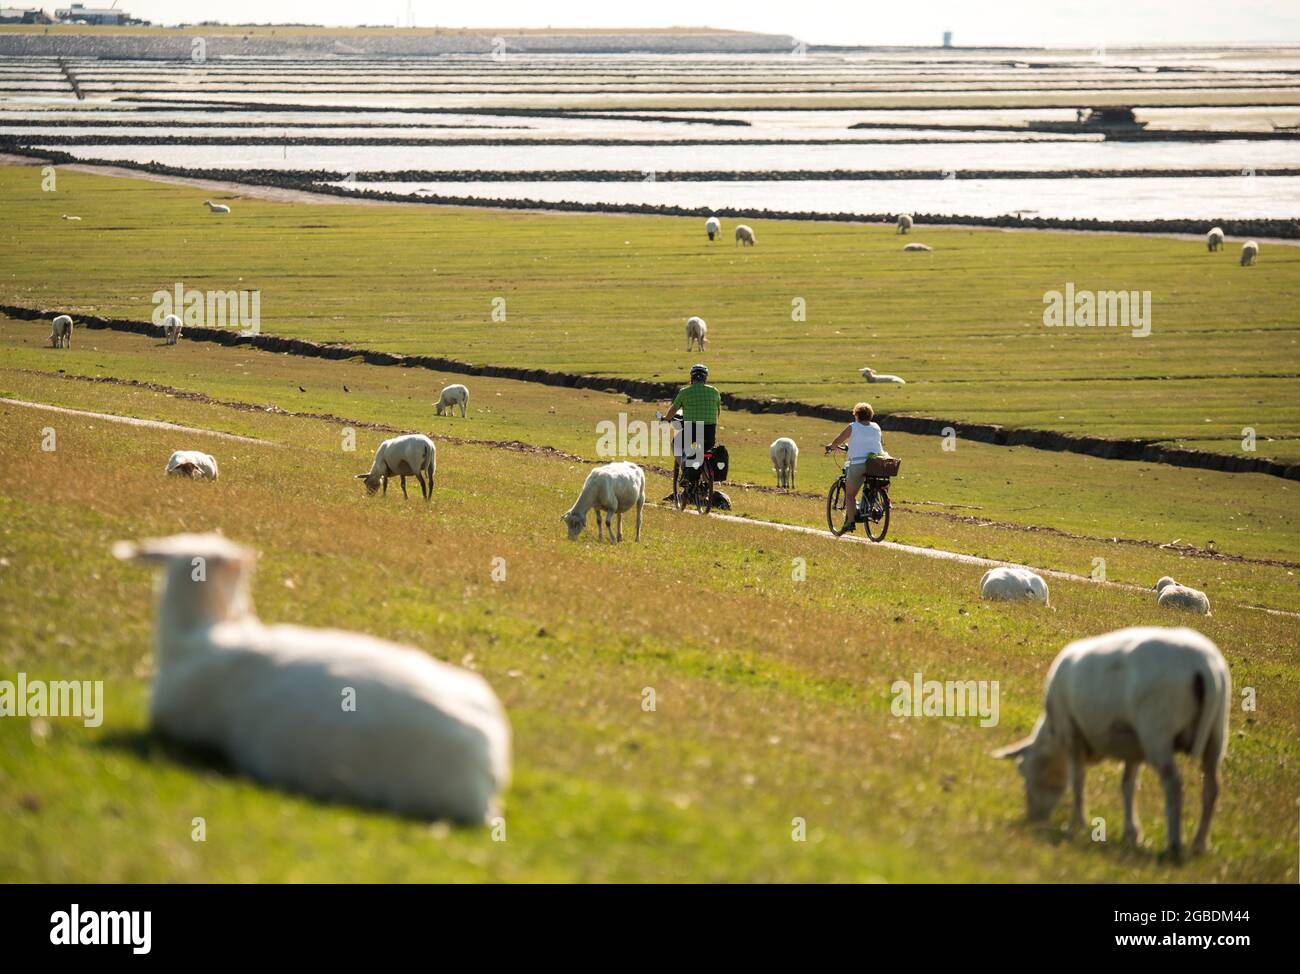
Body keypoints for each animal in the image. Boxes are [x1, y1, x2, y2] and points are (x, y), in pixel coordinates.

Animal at [993, 626, 1227, 853]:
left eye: (1022, 770)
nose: (1034, 818)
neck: (1053, 734)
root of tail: (1203, 667)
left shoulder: (1072, 733)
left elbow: (1078, 780)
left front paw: (1076, 824)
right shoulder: (1133, 745)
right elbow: (1128, 785)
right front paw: (1131, 832)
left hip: (1157, 731)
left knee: (1174, 784)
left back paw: (1175, 843)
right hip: (1216, 733)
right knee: (1211, 788)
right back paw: (1199, 843)